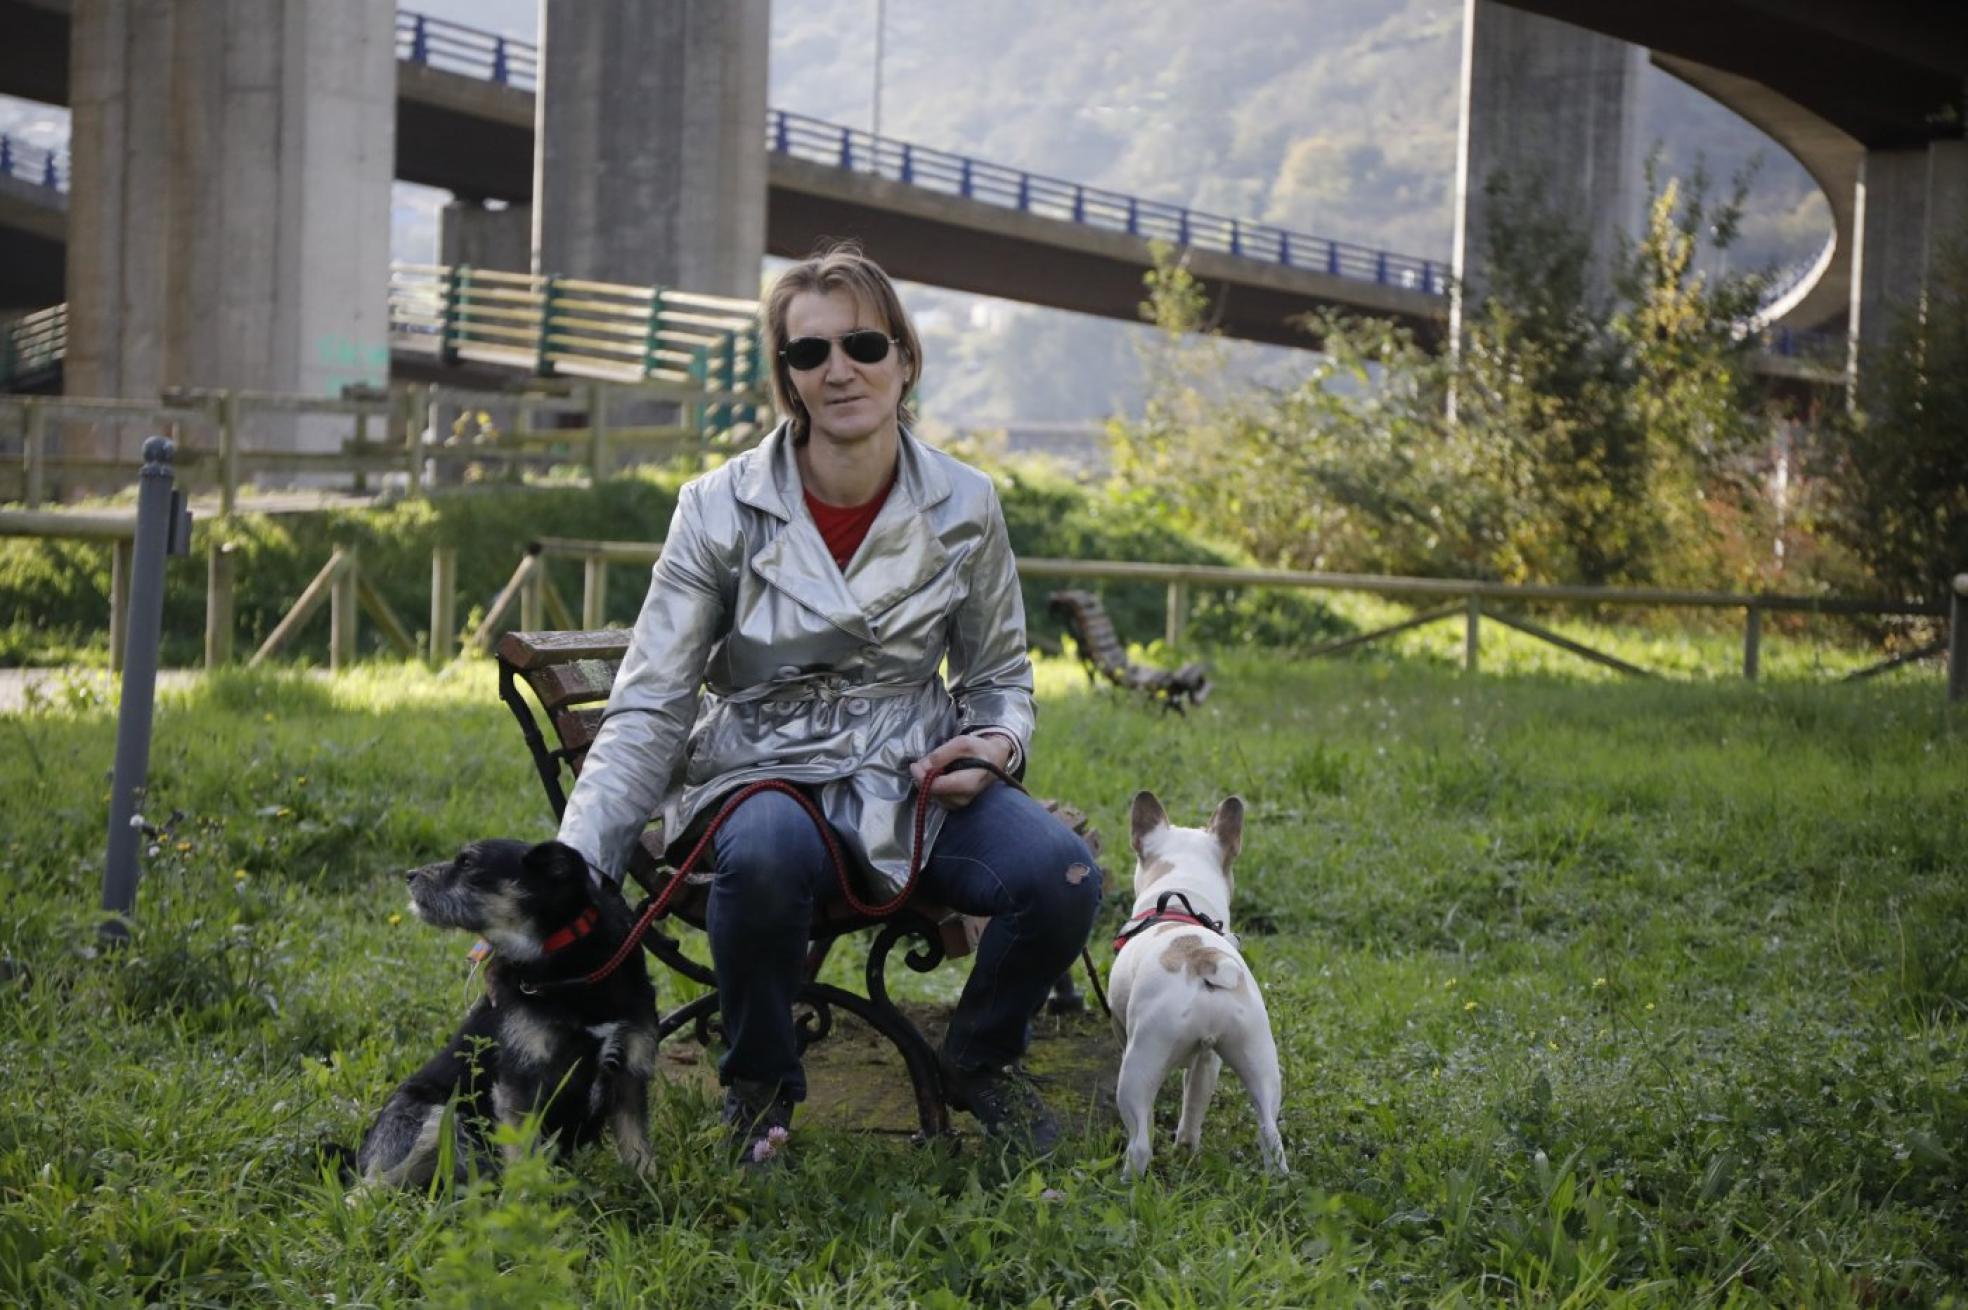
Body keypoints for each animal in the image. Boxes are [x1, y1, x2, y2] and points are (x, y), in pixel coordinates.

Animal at [354, 837, 661, 1180]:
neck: (569, 965)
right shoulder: (520, 1081)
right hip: (430, 1118)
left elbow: (638, 1151)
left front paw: (648, 1189)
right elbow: (525, 1157)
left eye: (468, 863)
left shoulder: (630, 1071)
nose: (409, 875)